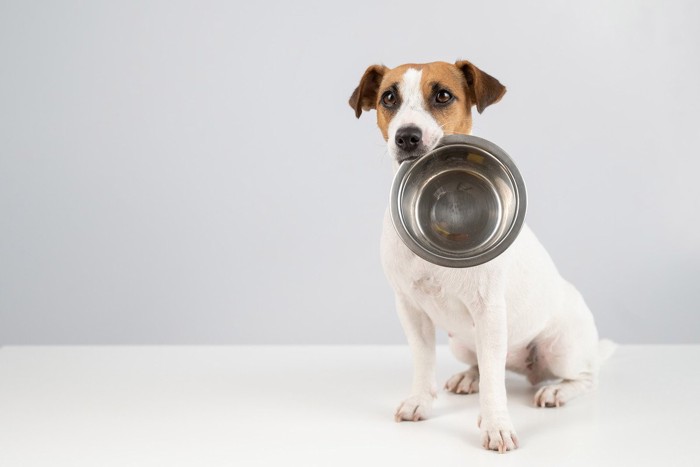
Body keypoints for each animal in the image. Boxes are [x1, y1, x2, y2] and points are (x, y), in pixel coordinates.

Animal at [350, 60, 612, 456]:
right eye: (388, 98)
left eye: (443, 95)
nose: (407, 137)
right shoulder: (410, 308)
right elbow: (423, 361)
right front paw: (419, 401)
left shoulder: (488, 311)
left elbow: (493, 383)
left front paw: (496, 425)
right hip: (461, 342)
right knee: (484, 364)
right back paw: (468, 377)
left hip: (561, 348)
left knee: (585, 376)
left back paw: (556, 390)